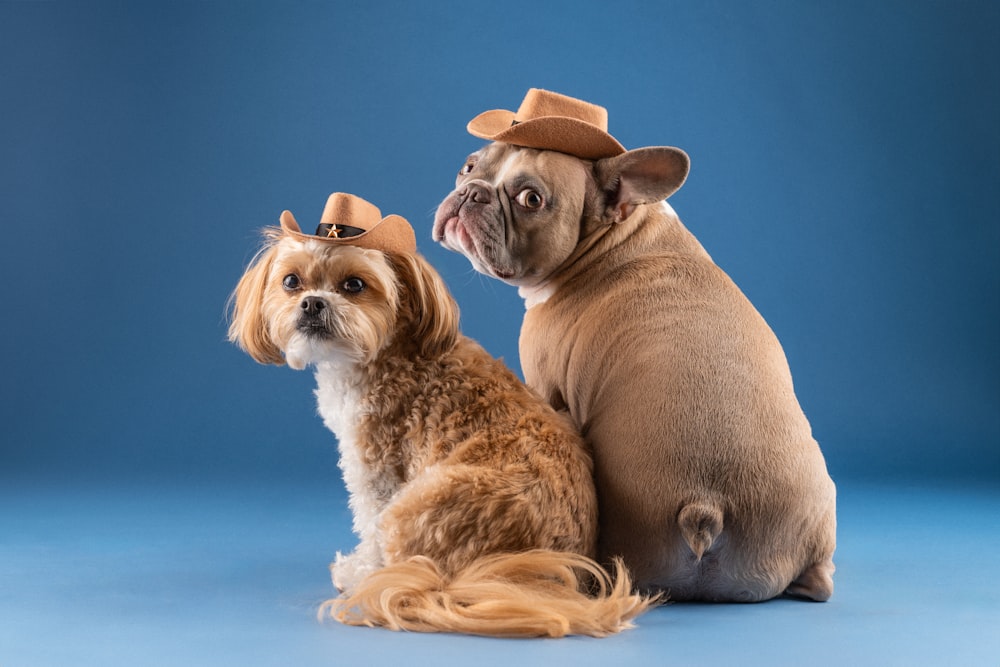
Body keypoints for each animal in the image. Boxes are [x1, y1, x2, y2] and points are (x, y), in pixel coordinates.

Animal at [228, 192, 656, 636]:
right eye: (291, 282)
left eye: (354, 285)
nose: (313, 302)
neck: (389, 350)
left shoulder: (376, 464)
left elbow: (368, 518)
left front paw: (362, 569)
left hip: (410, 510)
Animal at [438, 90, 836, 604]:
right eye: (468, 167)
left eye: (531, 199)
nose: (473, 191)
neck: (615, 238)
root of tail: (706, 508)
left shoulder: (544, 384)